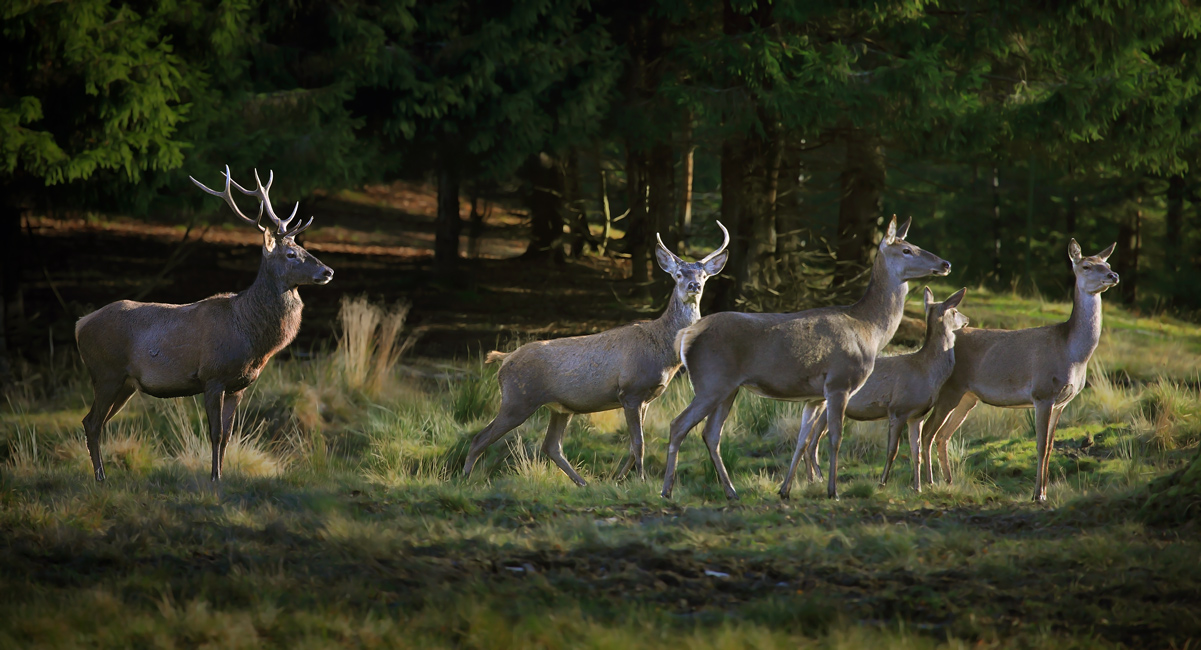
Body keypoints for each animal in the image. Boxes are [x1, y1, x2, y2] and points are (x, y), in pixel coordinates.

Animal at [75, 167, 333, 480]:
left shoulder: (238, 386)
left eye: (301, 248)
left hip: (125, 383)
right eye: (291, 254)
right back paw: (100, 478)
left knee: (95, 422)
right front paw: (213, 478)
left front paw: (223, 476)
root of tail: (80, 324)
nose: (328, 271)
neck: (249, 335)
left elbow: (229, 436)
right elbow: (215, 434)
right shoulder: (213, 376)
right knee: (91, 422)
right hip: (106, 372)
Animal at [458, 223, 725, 480]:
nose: (694, 285)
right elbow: (638, 444)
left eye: (703, 275)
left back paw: (582, 482)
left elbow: (633, 446)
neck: (663, 351)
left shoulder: (648, 398)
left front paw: (620, 479)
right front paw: (640, 481)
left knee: (551, 446)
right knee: (480, 438)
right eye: (678, 274)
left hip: (558, 407)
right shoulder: (630, 391)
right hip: (517, 399)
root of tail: (504, 359)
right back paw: (464, 478)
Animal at [662, 215, 951, 499]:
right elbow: (835, 438)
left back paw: (731, 491)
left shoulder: (814, 397)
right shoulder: (839, 382)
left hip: (728, 388)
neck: (869, 329)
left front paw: (785, 490)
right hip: (711, 381)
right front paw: (833, 491)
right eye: (907, 250)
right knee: (678, 424)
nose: (945, 263)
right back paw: (667, 489)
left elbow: (802, 441)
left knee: (711, 433)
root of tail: (686, 334)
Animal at [778, 285, 975, 495]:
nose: (967, 319)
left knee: (810, 442)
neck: (925, 371)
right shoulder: (898, 408)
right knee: (812, 444)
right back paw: (819, 481)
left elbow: (916, 452)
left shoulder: (917, 415)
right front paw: (882, 483)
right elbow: (892, 451)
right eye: (954, 311)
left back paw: (813, 481)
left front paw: (918, 487)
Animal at [917, 237, 1114, 502]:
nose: (1114, 275)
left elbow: (1050, 447)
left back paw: (948, 481)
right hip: (949, 389)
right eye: (1086, 266)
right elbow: (1040, 445)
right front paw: (1037, 495)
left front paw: (1044, 492)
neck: (1073, 354)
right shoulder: (1042, 392)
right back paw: (929, 483)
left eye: (1108, 263)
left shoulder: (1062, 402)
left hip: (968, 397)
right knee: (928, 431)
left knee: (942, 435)